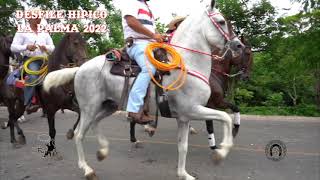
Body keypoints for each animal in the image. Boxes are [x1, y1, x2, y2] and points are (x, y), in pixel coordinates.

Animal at [43, 0, 244, 179]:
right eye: (221, 22)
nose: (239, 45)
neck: (186, 64)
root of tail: (79, 68)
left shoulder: (185, 118)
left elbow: (183, 146)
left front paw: (184, 174)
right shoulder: (194, 109)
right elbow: (225, 117)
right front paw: (220, 152)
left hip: (108, 106)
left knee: (95, 124)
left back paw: (102, 151)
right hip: (89, 108)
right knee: (79, 134)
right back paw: (87, 170)